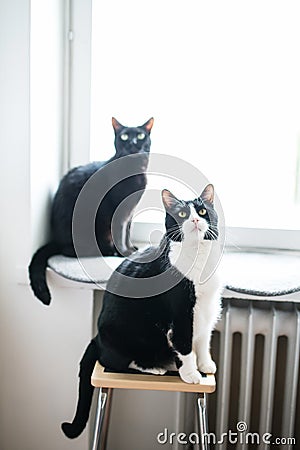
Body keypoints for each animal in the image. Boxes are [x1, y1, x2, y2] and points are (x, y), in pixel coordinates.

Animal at [29, 117, 154, 306]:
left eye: (140, 136)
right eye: (124, 136)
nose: (132, 142)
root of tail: (56, 239)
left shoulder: (130, 212)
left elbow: (127, 233)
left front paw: (131, 249)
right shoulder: (119, 212)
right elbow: (120, 234)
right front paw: (124, 254)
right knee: (71, 250)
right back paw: (106, 251)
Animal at [61, 185, 223, 440]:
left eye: (202, 211)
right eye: (182, 214)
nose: (196, 220)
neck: (198, 258)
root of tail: (97, 338)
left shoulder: (208, 308)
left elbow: (203, 340)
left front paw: (206, 364)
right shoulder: (181, 315)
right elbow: (185, 345)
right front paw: (191, 374)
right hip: (123, 337)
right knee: (114, 360)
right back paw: (155, 367)